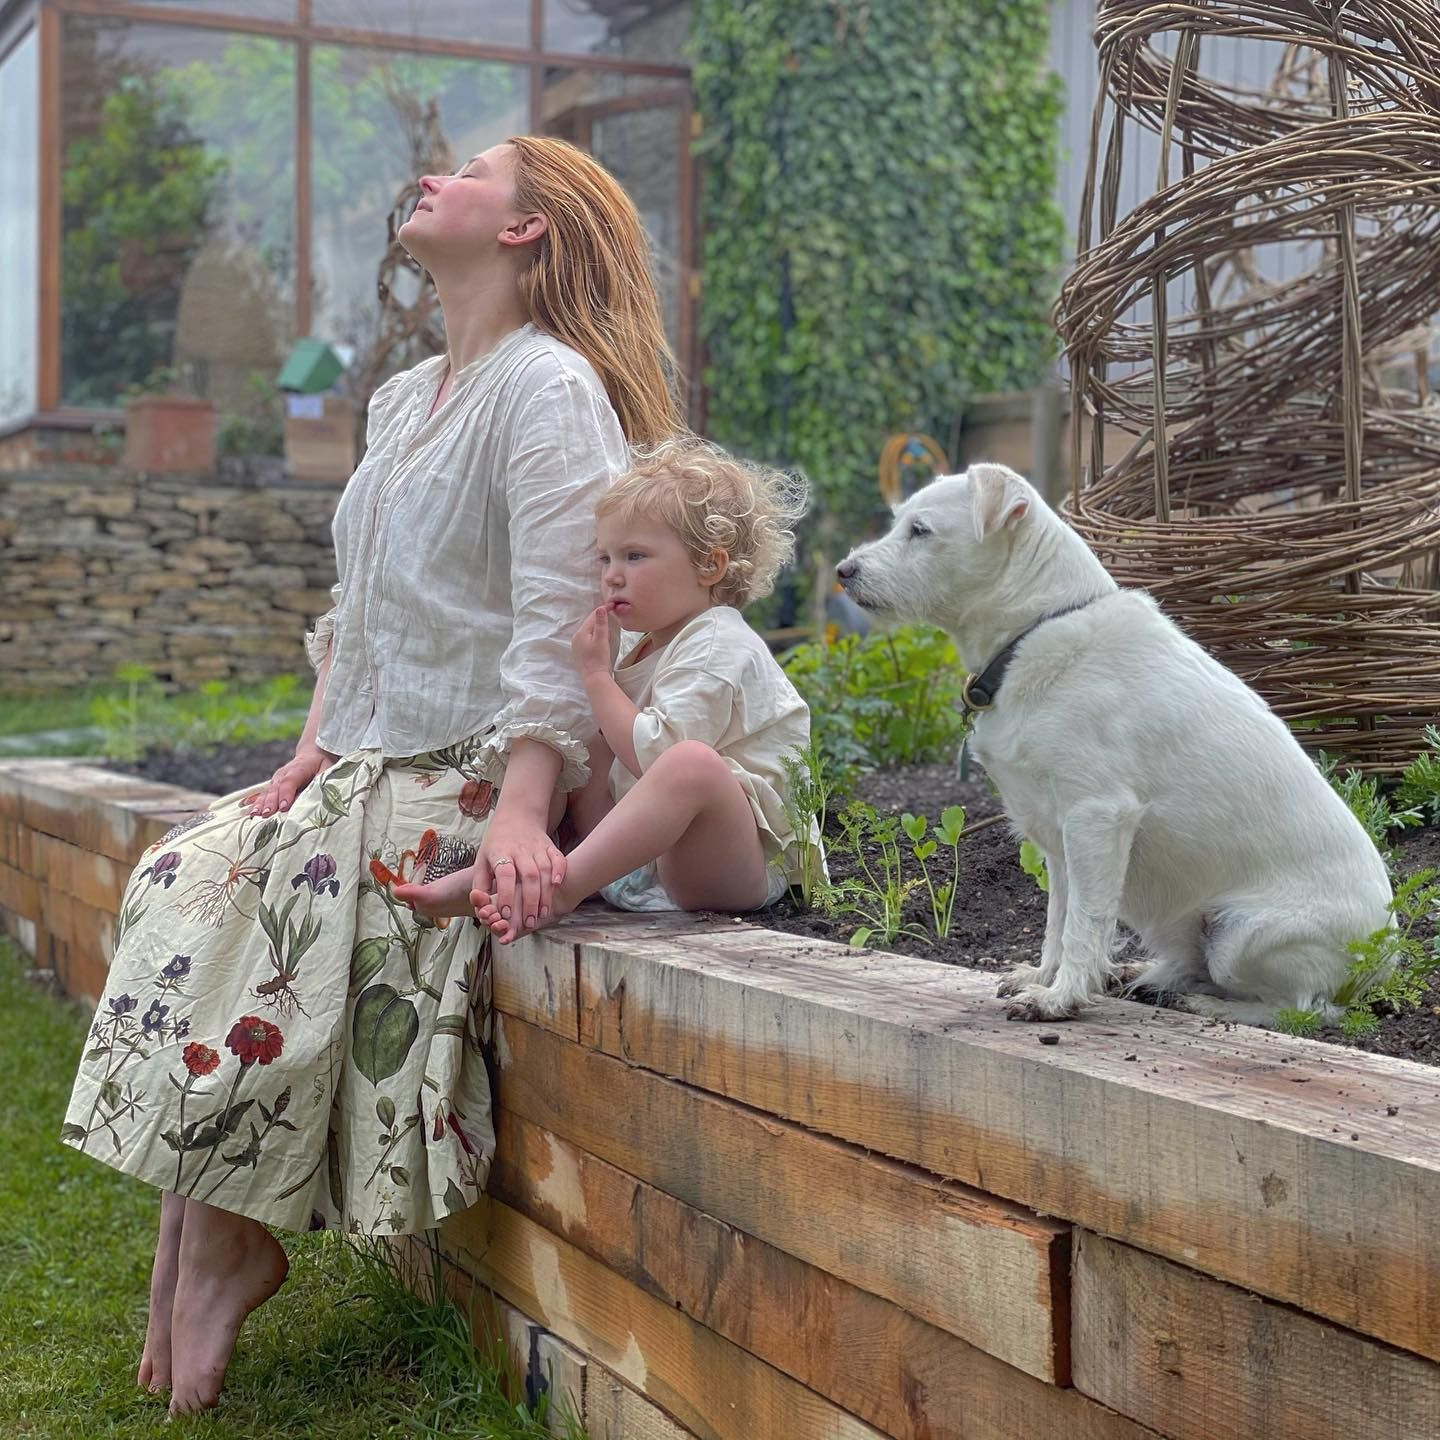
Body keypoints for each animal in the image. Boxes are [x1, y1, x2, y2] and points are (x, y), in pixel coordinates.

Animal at [835, 463, 1393, 1024]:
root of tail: (1382, 957)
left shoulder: (1097, 817)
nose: (843, 570)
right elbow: (1059, 921)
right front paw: (1044, 978)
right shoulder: (1059, 840)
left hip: (1240, 936)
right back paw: (1146, 976)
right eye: (898, 521)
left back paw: (1202, 1004)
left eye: (920, 530)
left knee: (1301, 1009)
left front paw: (1061, 997)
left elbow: (1087, 922)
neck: (1032, 630)